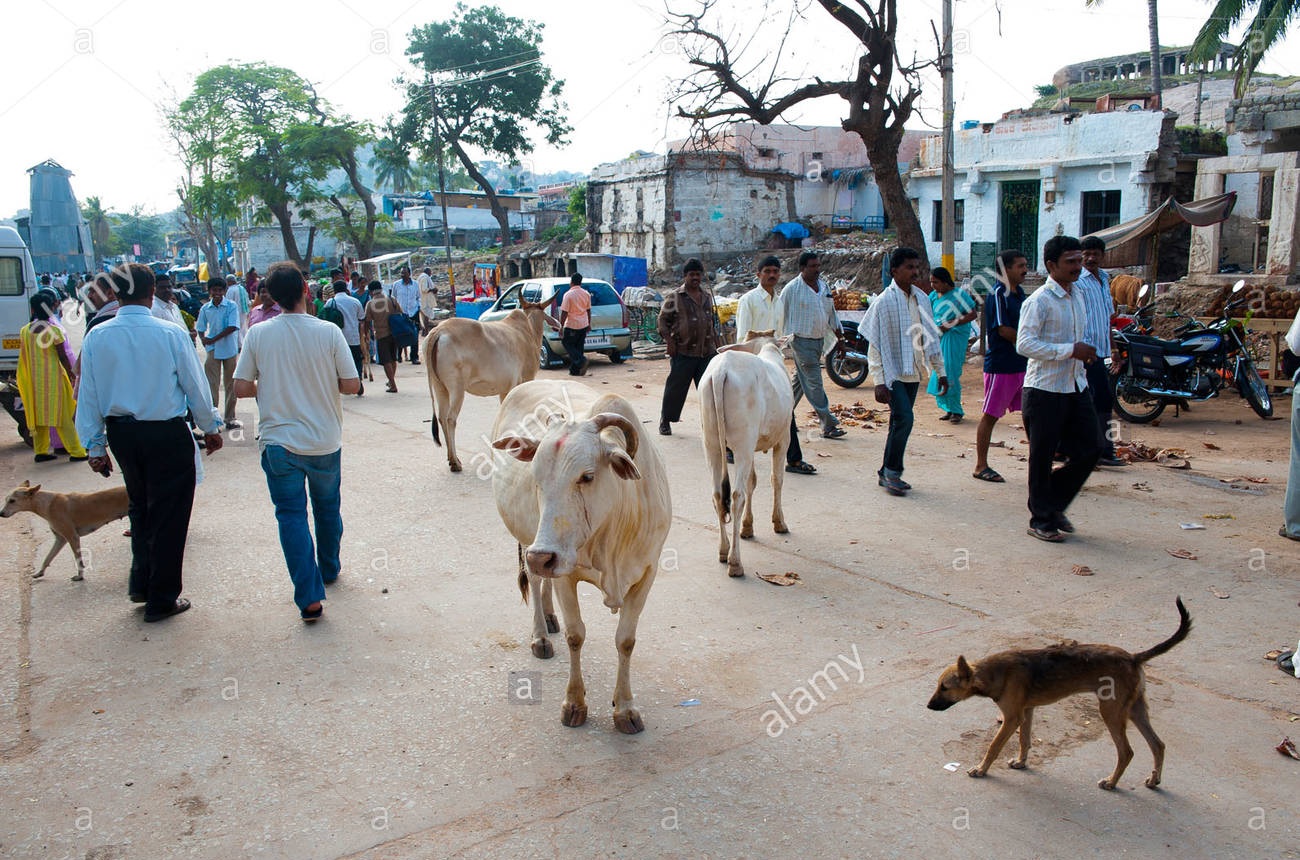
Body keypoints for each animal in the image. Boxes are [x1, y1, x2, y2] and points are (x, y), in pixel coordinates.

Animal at [0, 480, 130, 581]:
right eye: (6, 499)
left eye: (12, 500)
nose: (1, 513)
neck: (48, 504)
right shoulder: (60, 539)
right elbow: (47, 558)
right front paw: (39, 572)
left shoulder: (72, 537)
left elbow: (79, 561)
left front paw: (80, 576)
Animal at [423, 302, 551, 475]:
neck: (528, 332)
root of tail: (439, 330)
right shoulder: (523, 381)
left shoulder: (505, 389)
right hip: (457, 387)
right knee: (451, 419)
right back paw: (455, 462)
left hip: (440, 386)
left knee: (442, 417)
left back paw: (451, 458)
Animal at [488, 381, 670, 732]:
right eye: (535, 478)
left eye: (587, 476)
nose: (542, 555)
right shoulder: (564, 572)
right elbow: (576, 635)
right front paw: (574, 703)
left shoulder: (647, 573)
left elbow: (626, 640)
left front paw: (625, 708)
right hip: (529, 540)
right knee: (535, 582)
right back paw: (541, 635)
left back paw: (549, 616)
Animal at [702, 337, 790, 579]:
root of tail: (721, 370)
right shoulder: (783, 439)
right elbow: (776, 479)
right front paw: (779, 522)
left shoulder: (752, 448)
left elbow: (753, 481)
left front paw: (747, 527)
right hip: (743, 444)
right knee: (736, 495)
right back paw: (735, 562)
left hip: (712, 443)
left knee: (717, 494)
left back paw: (723, 550)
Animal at [925, 600, 1190, 795]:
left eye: (944, 687)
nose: (928, 706)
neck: (995, 673)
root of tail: (1133, 657)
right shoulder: (1026, 712)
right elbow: (1024, 740)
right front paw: (1021, 762)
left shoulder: (1011, 718)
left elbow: (994, 746)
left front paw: (981, 769)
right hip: (1135, 709)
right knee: (1158, 744)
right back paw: (1154, 780)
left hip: (1111, 712)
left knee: (1127, 752)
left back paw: (1111, 783)